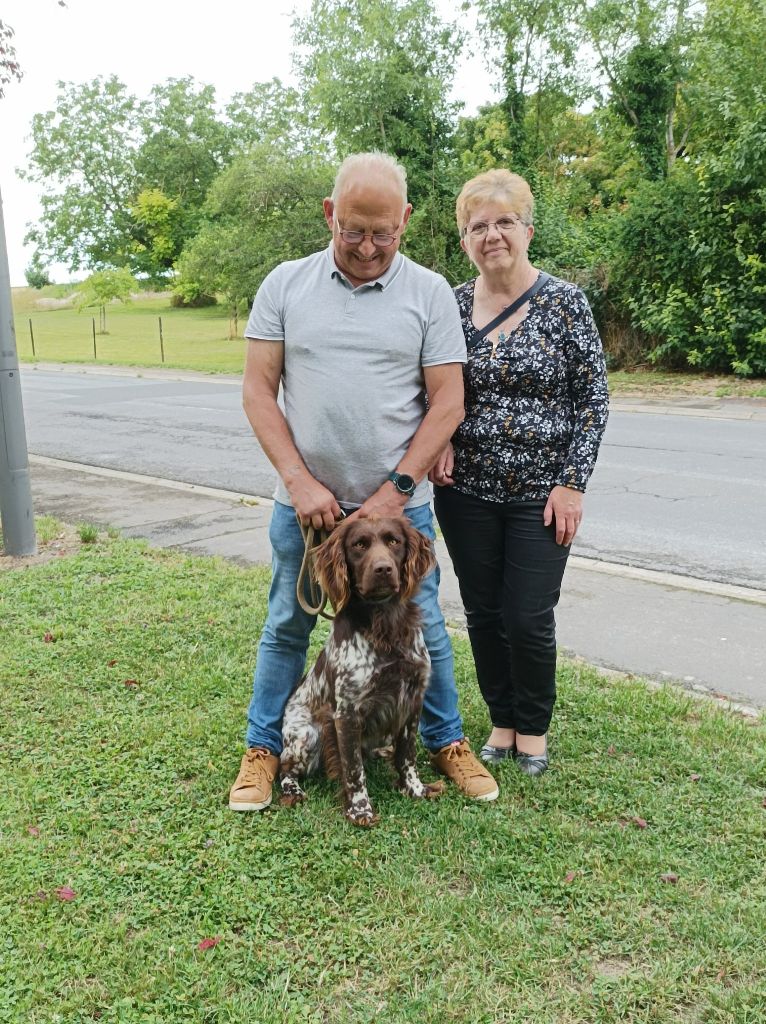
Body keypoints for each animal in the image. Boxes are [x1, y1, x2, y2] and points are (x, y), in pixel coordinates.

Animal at [280, 516, 442, 827]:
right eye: (359, 545)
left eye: (394, 541)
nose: (383, 569)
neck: (385, 626)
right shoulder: (347, 713)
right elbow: (354, 769)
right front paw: (360, 809)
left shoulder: (412, 700)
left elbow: (408, 756)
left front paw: (415, 789)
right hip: (306, 735)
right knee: (284, 767)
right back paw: (292, 791)